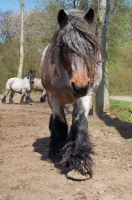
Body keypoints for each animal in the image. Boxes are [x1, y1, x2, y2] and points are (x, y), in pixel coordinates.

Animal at [40, 7, 102, 180]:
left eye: (91, 44)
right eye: (63, 45)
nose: (80, 86)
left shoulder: (86, 96)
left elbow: (80, 124)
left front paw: (78, 161)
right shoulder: (53, 98)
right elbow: (59, 123)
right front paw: (56, 152)